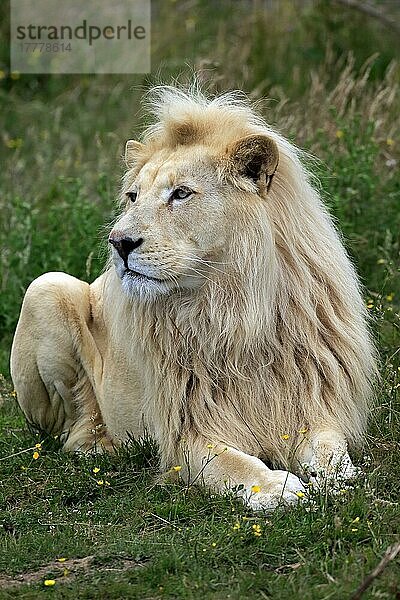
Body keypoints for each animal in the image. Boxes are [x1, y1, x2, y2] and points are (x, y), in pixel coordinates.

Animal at [10, 85, 376, 510]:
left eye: (181, 193)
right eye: (133, 196)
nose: (118, 242)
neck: (232, 308)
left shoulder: (311, 404)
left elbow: (329, 446)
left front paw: (340, 477)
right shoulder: (186, 432)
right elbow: (233, 465)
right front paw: (276, 487)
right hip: (46, 288)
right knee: (68, 431)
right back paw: (100, 445)